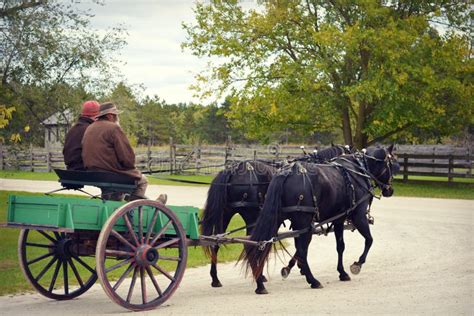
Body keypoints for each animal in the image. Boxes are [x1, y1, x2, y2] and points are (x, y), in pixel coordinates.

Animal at [200, 144, 352, 288]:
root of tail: (233, 170)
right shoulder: (303, 219)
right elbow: (302, 245)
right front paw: (293, 268)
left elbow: (299, 244)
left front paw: (297, 267)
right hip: (251, 216)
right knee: (250, 244)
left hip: (225, 214)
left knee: (216, 242)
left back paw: (216, 279)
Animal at [241, 145, 400, 294]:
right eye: (391, 162)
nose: (390, 190)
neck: (358, 170)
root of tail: (286, 173)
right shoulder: (359, 215)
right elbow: (369, 240)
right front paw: (357, 264)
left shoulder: (338, 219)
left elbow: (340, 246)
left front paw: (342, 273)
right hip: (302, 221)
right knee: (301, 250)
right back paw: (313, 280)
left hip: (278, 218)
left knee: (259, 244)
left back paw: (260, 284)